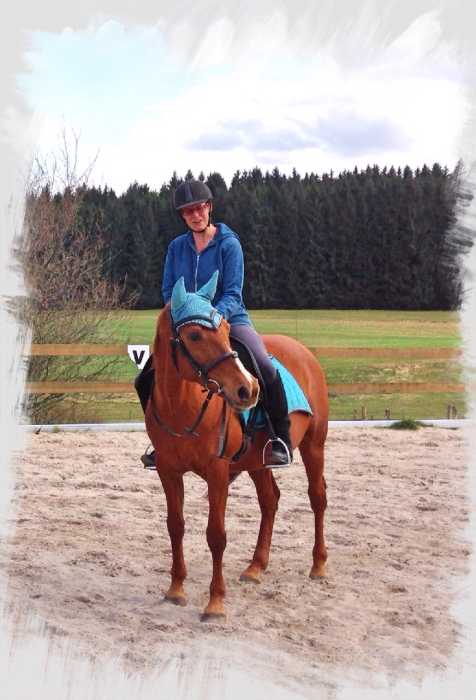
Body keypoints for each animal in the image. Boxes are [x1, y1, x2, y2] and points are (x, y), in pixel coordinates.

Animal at [144, 278, 328, 616]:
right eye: (194, 334)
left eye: (227, 328)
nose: (248, 389)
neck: (183, 406)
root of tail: (301, 350)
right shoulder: (167, 470)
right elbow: (175, 526)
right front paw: (176, 589)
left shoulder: (217, 472)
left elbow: (216, 535)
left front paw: (215, 602)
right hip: (257, 461)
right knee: (270, 500)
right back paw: (256, 566)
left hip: (314, 446)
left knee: (317, 498)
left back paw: (318, 564)